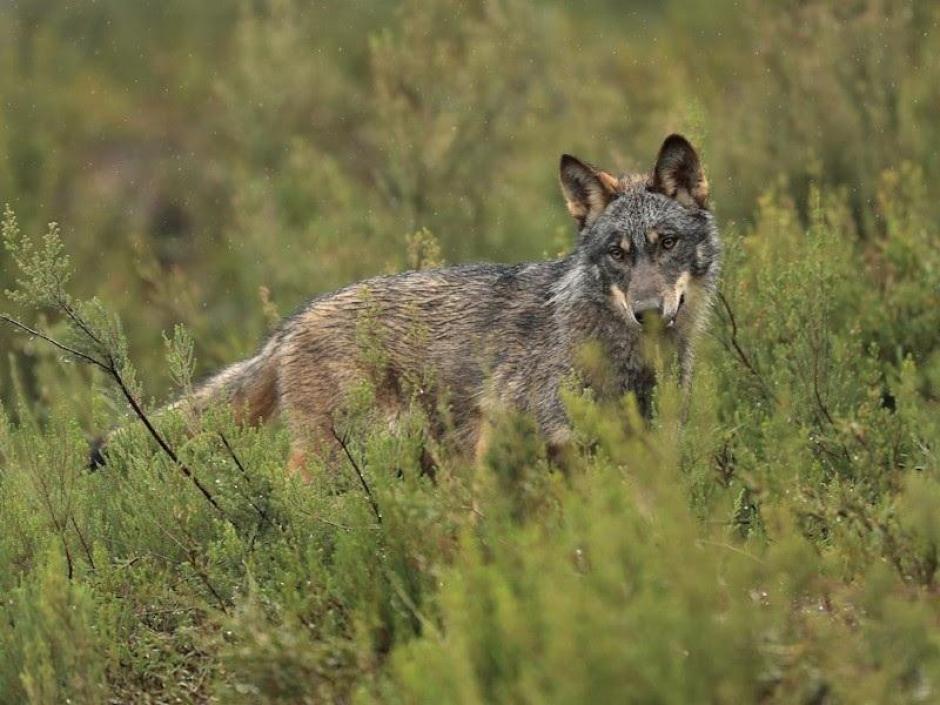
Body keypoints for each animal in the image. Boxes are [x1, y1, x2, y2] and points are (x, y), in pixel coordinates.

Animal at [95, 135, 720, 473]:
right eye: (617, 254)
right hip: (338, 455)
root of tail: (289, 324)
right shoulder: (516, 441)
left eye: (666, 244)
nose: (647, 312)